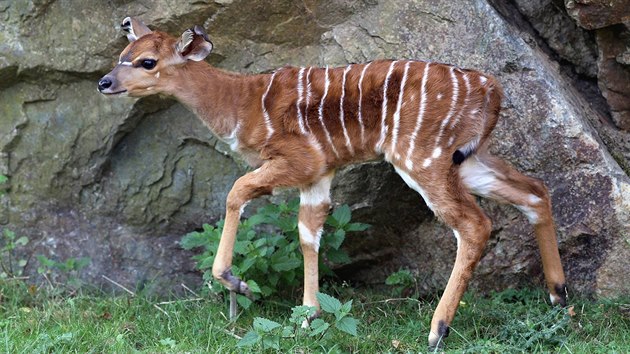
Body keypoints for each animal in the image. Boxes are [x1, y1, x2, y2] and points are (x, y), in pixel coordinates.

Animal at [97, 18, 568, 348]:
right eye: (124, 52)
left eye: (147, 62)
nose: (104, 82)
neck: (242, 104)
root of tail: (491, 90)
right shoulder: (318, 176)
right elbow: (309, 233)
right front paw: (308, 317)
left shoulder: (298, 162)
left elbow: (237, 193)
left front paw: (237, 282)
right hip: (468, 160)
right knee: (535, 191)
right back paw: (559, 298)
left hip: (423, 160)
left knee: (475, 225)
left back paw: (438, 330)